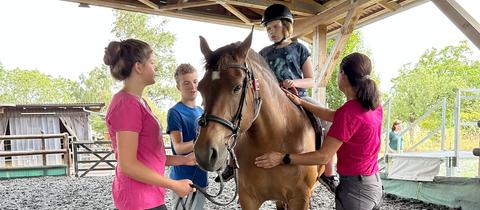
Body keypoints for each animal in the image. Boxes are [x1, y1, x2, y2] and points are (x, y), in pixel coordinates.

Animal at [193, 30, 324, 210]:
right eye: (200, 88)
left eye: (237, 87)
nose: (204, 153)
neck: (274, 139)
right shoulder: (248, 199)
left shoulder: (300, 199)